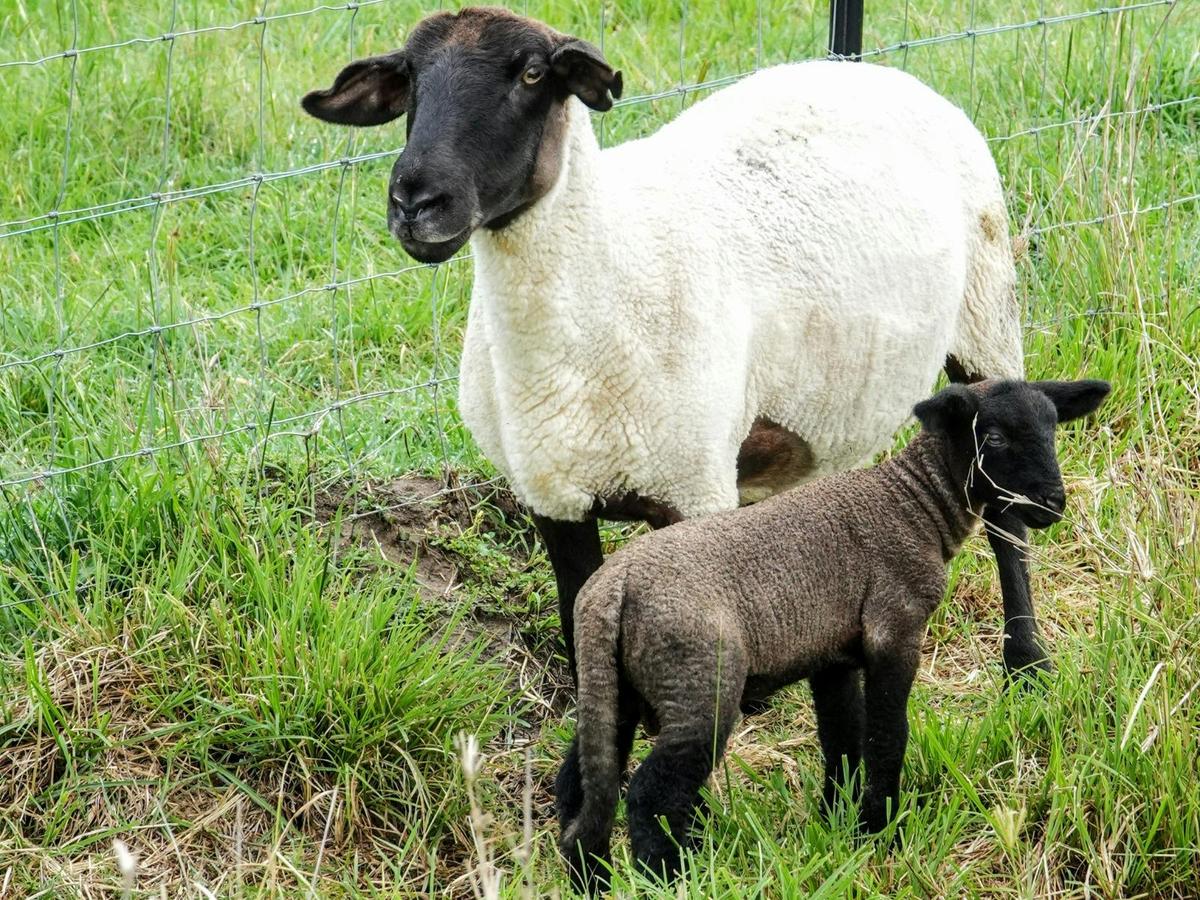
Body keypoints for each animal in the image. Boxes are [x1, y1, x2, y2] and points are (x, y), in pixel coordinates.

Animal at [301, 6, 1049, 686]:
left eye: (534, 74)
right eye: (409, 79)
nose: (416, 201)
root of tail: (867, 71)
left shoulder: (695, 487)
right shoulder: (551, 496)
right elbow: (579, 636)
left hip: (987, 315)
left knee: (1007, 515)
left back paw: (1027, 664)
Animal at [556, 378, 1111, 892]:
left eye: (1052, 428)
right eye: (993, 436)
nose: (1053, 503)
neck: (916, 504)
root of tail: (609, 588)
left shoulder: (834, 655)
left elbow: (843, 737)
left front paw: (838, 823)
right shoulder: (895, 627)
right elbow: (886, 733)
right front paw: (881, 831)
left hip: (617, 686)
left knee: (582, 786)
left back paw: (591, 878)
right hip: (697, 682)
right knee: (650, 794)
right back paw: (670, 878)